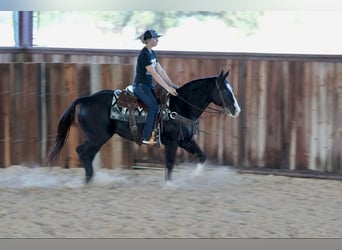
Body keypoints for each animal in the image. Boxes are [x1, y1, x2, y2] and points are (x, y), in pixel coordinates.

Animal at [47, 69, 240, 183]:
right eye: (225, 90)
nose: (236, 109)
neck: (179, 106)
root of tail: (86, 99)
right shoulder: (172, 142)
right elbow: (170, 163)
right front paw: (169, 184)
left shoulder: (186, 141)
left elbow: (202, 156)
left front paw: (193, 176)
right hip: (98, 136)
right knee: (82, 151)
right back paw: (88, 179)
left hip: (98, 138)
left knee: (88, 153)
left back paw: (90, 179)